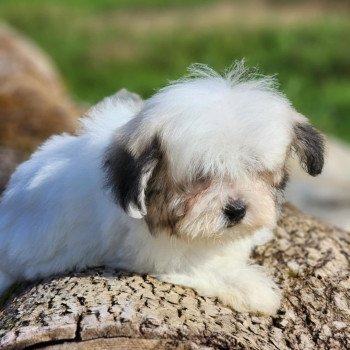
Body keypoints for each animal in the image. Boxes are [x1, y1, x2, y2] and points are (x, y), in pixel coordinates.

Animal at [0, 63, 326, 314]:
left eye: (256, 170)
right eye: (201, 178)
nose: (236, 210)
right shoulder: (155, 253)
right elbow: (204, 266)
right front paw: (252, 289)